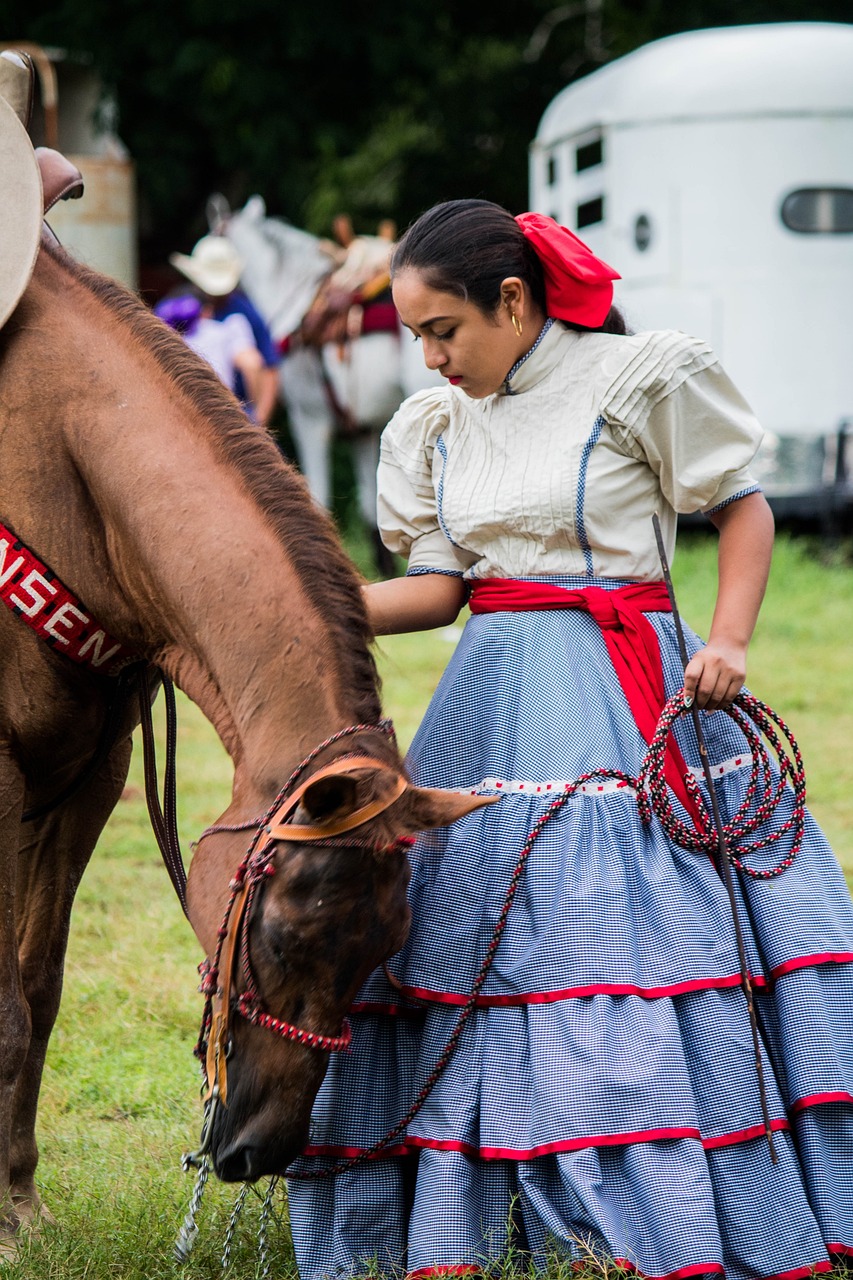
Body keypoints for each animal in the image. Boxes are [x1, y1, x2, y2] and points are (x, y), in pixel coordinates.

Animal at [0, 235, 484, 1233]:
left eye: (380, 949)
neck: (55, 453)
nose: (266, 1150)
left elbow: (36, 985)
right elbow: (4, 1011)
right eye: (284, 939)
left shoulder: (88, 774)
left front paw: (18, 1200)